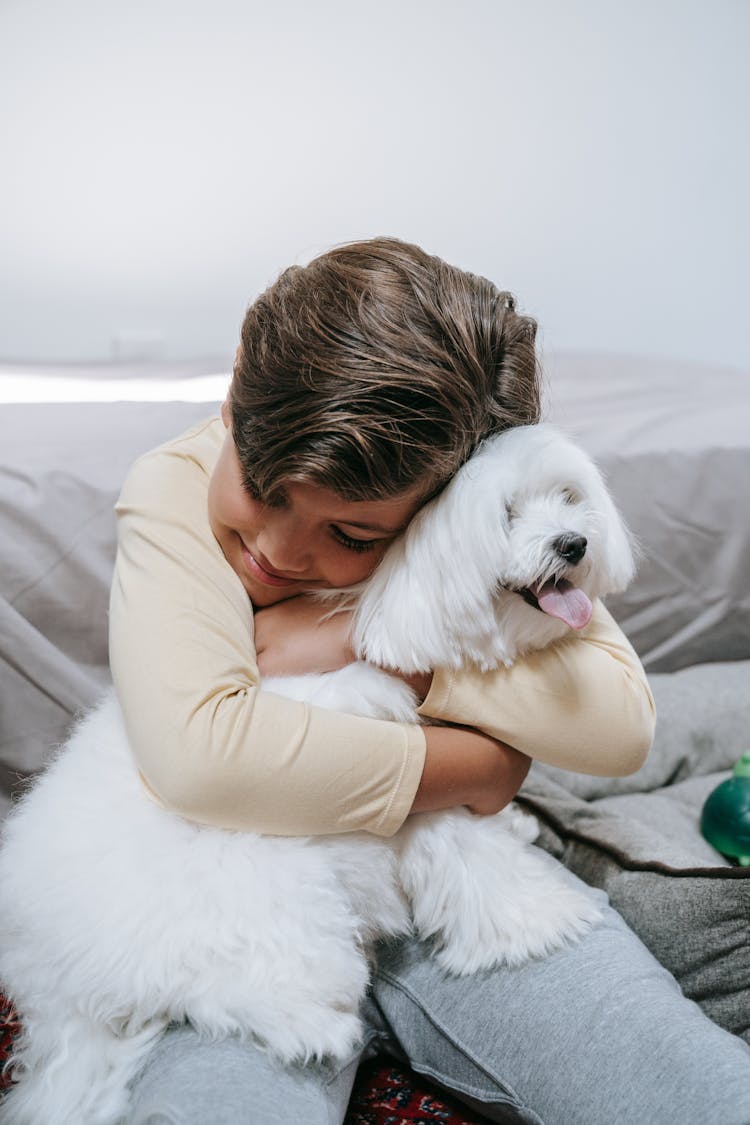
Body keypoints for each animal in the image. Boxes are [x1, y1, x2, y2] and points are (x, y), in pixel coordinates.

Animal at [0, 423, 634, 1125]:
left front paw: (519, 833)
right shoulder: (414, 781)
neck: (391, 599)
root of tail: (56, 988)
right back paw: (313, 1025)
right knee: (212, 988)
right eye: (507, 514)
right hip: (267, 897)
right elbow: (468, 854)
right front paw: (539, 921)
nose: (573, 542)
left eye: (569, 497)